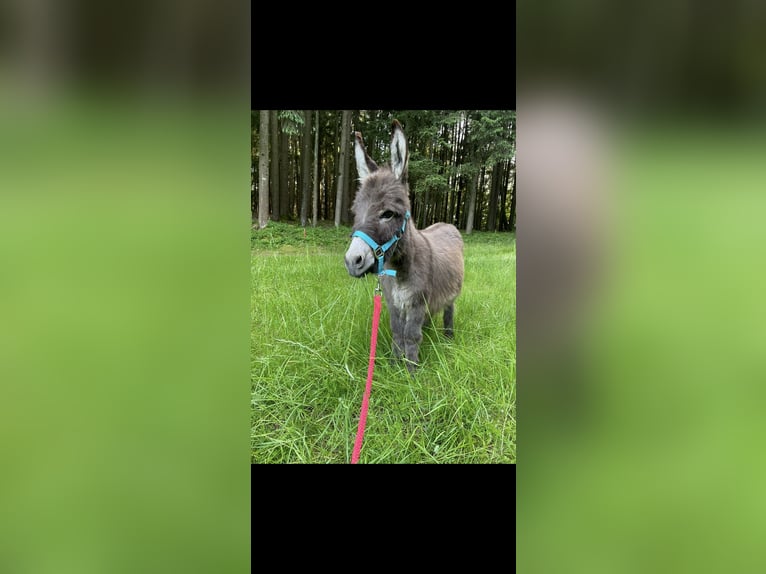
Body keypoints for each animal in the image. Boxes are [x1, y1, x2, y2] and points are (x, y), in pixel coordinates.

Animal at [344, 120, 464, 373]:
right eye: (355, 212)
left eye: (388, 214)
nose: (352, 261)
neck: (398, 269)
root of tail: (446, 223)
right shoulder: (394, 303)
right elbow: (398, 333)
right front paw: (394, 366)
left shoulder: (417, 302)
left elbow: (411, 336)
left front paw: (411, 372)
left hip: (452, 293)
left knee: (449, 311)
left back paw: (448, 338)